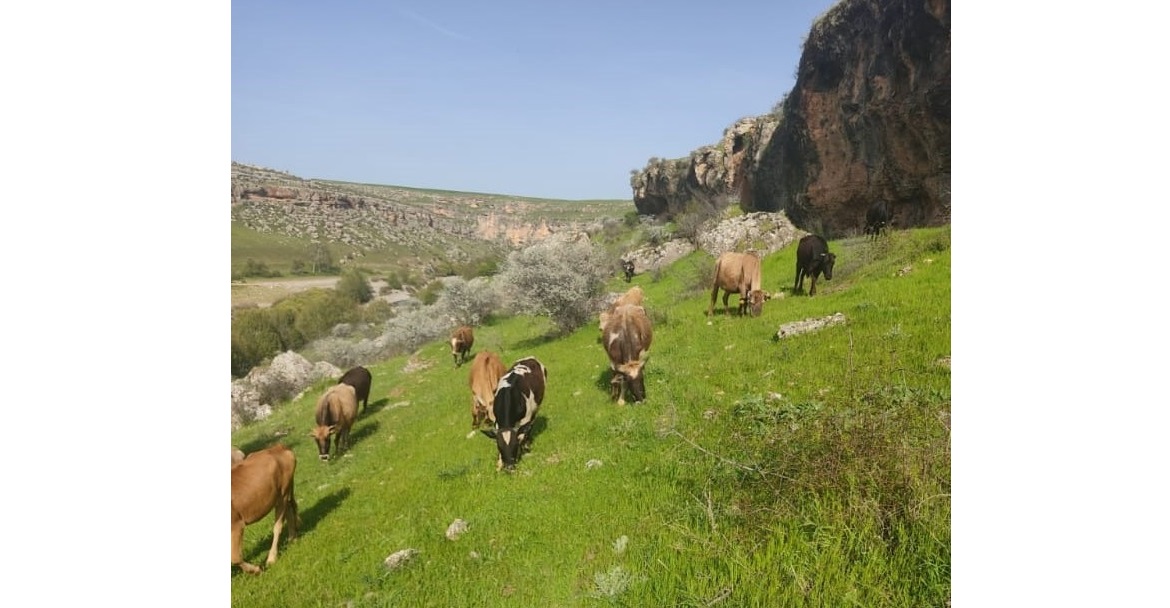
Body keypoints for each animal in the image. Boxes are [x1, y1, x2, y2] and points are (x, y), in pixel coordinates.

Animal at [229, 444, 297, 572]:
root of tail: (278, 447)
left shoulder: (236, 524)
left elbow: (234, 557)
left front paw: (256, 570)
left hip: (283, 494)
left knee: (278, 526)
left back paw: (272, 558)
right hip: (283, 495)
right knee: (289, 511)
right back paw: (292, 539)